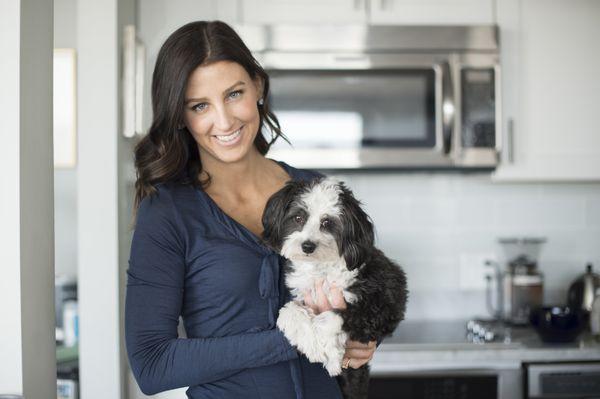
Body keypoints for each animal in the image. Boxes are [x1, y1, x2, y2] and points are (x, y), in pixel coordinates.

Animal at [262, 178, 408, 399]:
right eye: (298, 218)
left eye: (327, 223)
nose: (307, 246)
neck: (322, 269)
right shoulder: (304, 295)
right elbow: (288, 311)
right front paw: (311, 343)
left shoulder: (388, 305)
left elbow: (334, 317)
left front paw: (329, 353)